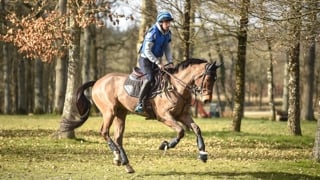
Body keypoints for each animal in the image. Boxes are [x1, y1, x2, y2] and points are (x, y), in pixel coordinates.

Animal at [75, 58, 220, 173]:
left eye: (215, 79)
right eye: (207, 78)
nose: (207, 100)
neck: (176, 87)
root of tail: (98, 81)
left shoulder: (182, 115)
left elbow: (196, 129)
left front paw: (202, 153)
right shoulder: (164, 116)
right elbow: (180, 131)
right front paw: (165, 145)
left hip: (120, 113)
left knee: (118, 138)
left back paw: (125, 163)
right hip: (109, 112)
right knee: (104, 132)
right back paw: (117, 155)